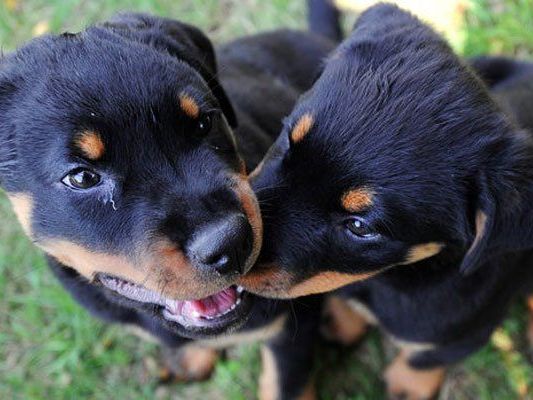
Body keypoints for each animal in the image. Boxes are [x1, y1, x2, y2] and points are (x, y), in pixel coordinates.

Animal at [1, 12, 332, 400]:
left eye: (204, 122)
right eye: (81, 178)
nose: (231, 242)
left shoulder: (293, 325)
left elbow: (284, 384)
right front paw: (190, 358)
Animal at [242, 3, 533, 400]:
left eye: (360, 226)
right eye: (288, 140)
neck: (389, 280)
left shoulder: (468, 331)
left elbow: (424, 357)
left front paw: (406, 387)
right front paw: (341, 320)